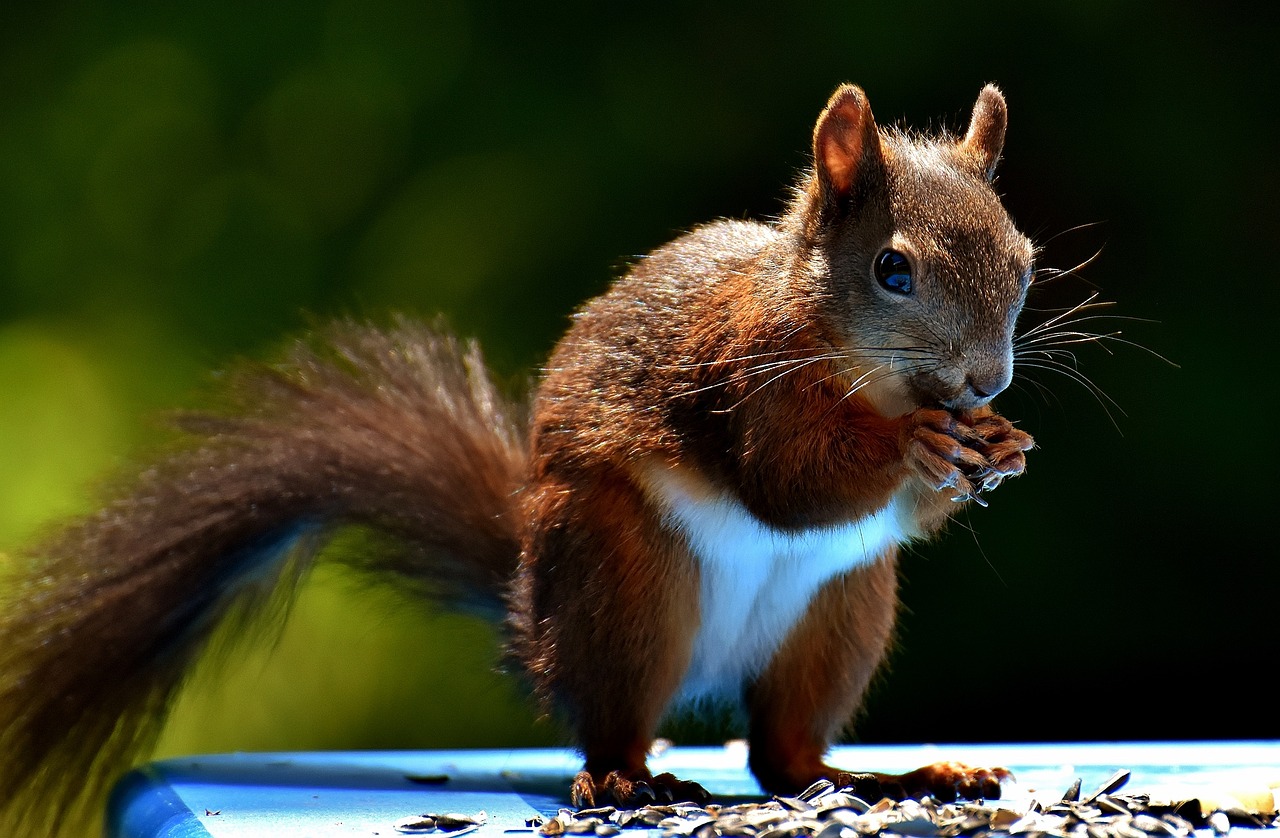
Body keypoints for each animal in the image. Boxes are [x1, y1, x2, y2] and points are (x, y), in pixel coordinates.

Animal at [0, 83, 1039, 834]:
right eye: (892, 270)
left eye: (1024, 262)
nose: (985, 379)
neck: (871, 375)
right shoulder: (740, 376)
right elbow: (786, 480)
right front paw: (918, 445)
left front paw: (1000, 443)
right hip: (624, 582)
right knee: (618, 720)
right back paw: (628, 782)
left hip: (841, 613)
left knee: (783, 756)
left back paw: (902, 776)